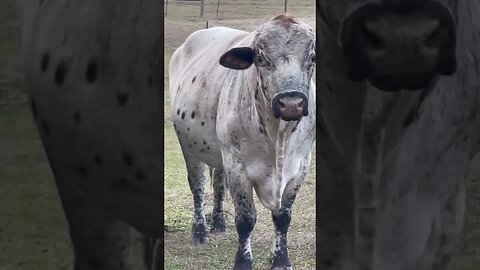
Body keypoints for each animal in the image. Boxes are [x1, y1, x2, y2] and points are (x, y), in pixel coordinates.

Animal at [168, 15, 316, 270]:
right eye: (261, 58)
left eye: (312, 57)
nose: (291, 104)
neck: (278, 136)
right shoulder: (238, 168)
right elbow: (246, 219)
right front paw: (243, 261)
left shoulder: (300, 168)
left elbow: (283, 217)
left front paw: (280, 259)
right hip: (191, 149)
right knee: (198, 187)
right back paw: (200, 231)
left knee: (217, 183)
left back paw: (218, 222)